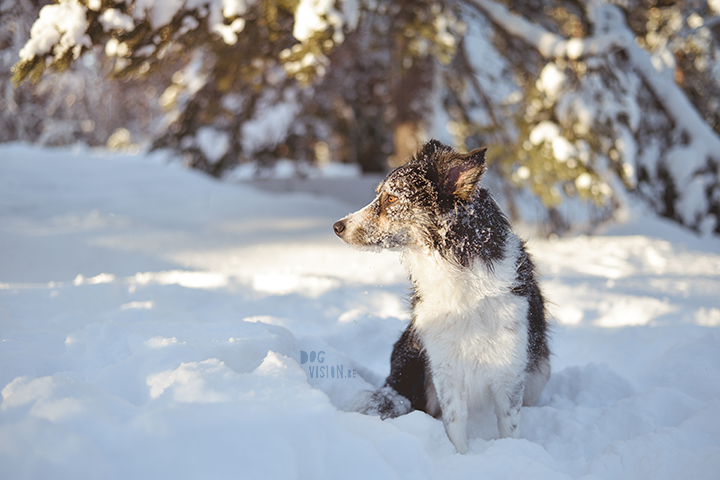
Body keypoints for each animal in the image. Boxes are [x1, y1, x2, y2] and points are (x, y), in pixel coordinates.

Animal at [334, 139, 552, 454]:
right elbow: (455, 423)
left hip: (539, 371)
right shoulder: (444, 365)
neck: (456, 270)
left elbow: (508, 426)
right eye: (379, 195)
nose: (337, 226)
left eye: (391, 199)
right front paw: (461, 457)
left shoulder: (509, 365)